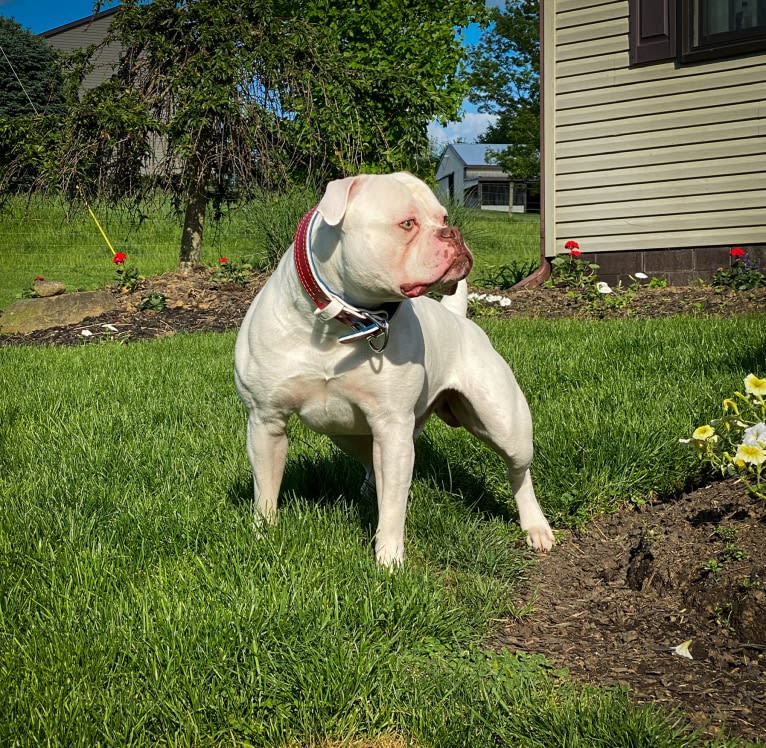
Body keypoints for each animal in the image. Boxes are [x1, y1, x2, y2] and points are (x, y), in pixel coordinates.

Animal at [234, 171, 552, 568]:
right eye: (408, 224)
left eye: (443, 218)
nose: (454, 232)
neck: (339, 325)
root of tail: (458, 318)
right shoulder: (265, 421)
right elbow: (266, 489)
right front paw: (263, 537)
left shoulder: (393, 426)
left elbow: (394, 505)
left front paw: (388, 561)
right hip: (346, 433)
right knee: (371, 464)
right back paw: (369, 488)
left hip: (504, 425)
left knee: (519, 472)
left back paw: (535, 526)